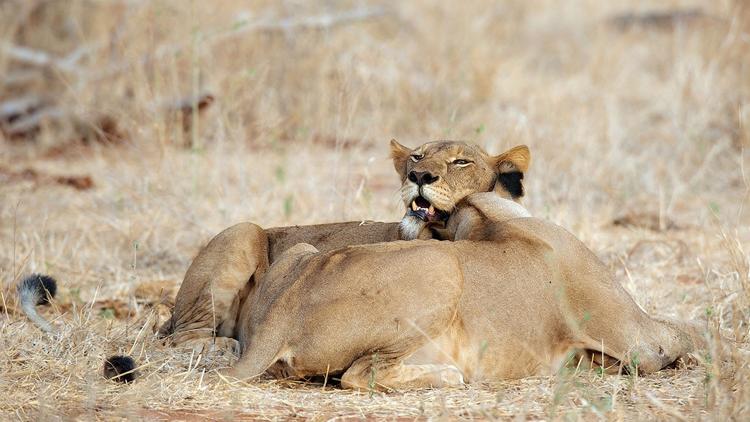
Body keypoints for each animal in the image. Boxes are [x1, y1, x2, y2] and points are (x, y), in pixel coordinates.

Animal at [159, 140, 536, 348]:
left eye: (461, 161)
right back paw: (225, 347)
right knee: (185, 336)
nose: (418, 176)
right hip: (244, 230)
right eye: (416, 157)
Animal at [223, 148, 704, 390]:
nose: (419, 176)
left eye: (460, 161)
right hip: (440, 272)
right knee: (361, 374)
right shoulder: (642, 338)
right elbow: (689, 333)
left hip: (300, 252)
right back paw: (451, 375)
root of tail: (278, 322)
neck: (486, 217)